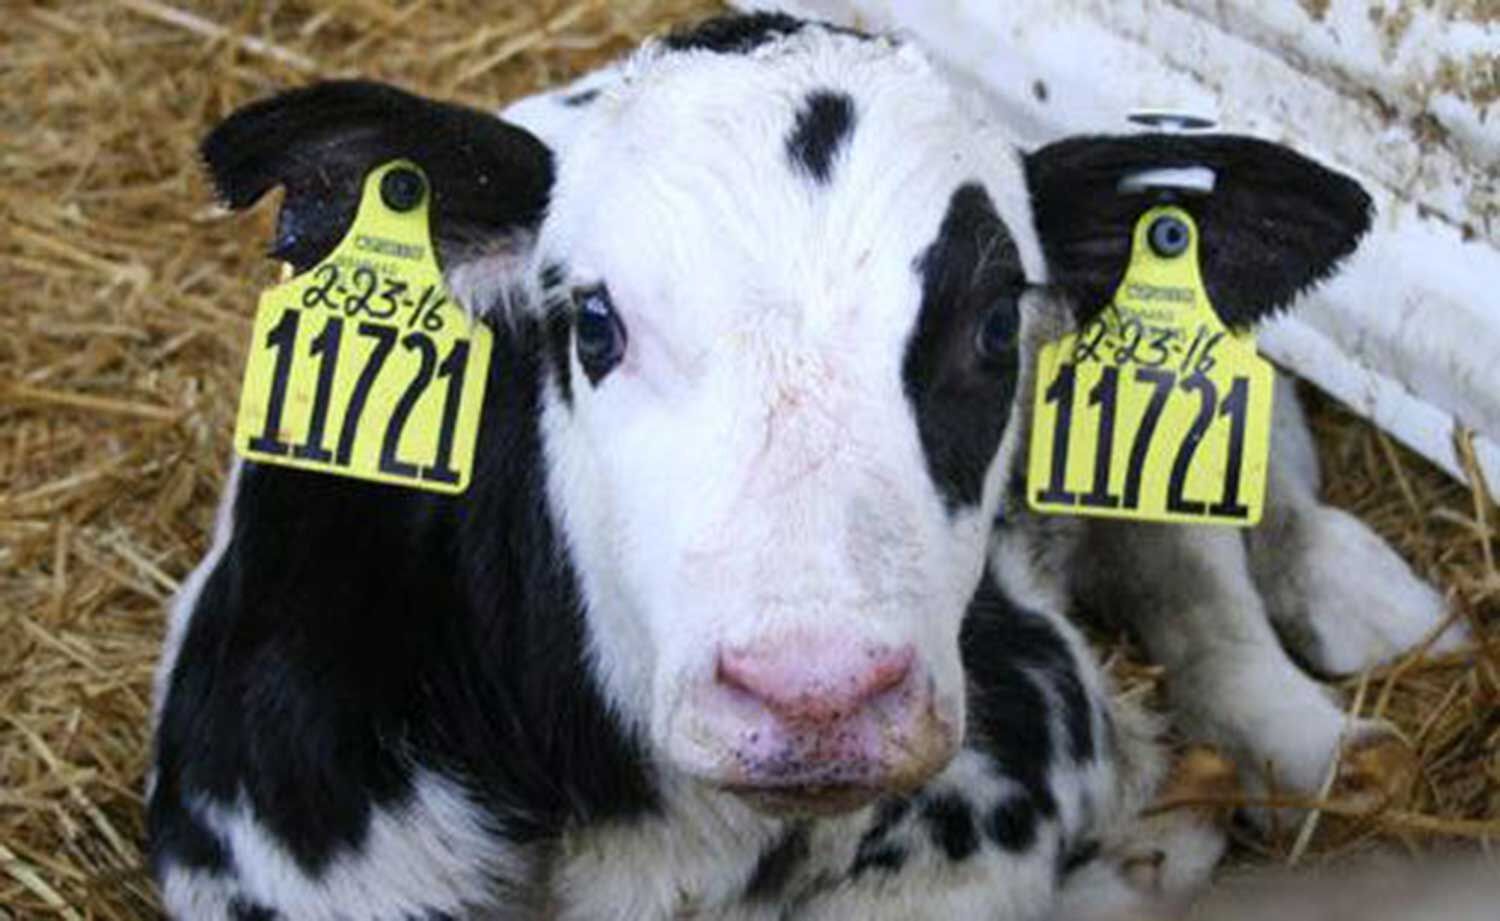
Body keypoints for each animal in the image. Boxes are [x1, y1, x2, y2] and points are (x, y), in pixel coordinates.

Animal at [149, 13, 1459, 920]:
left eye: (998, 326)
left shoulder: (1020, 743)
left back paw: (1343, 717)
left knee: (1210, 567)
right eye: (592, 321)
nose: (816, 695)